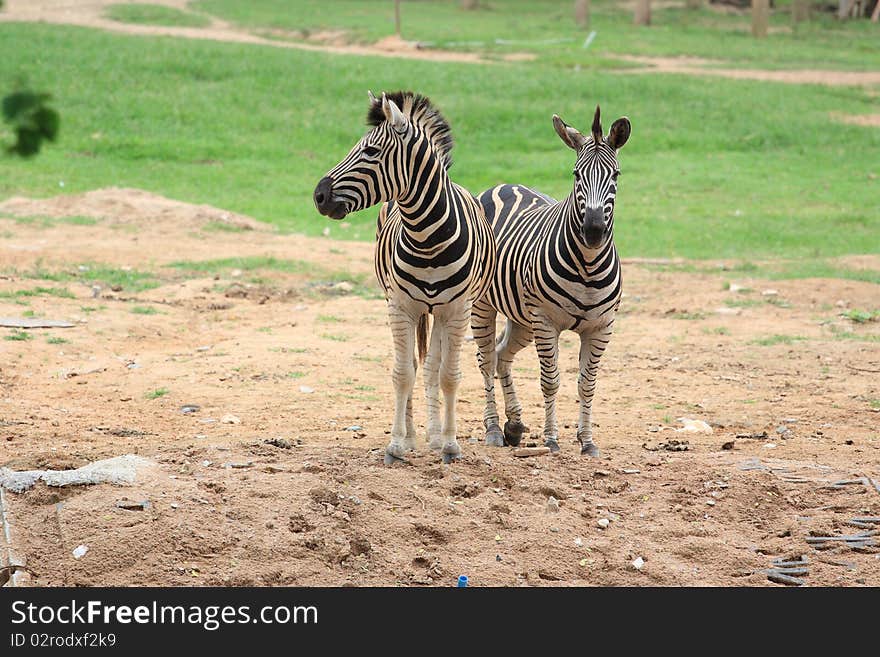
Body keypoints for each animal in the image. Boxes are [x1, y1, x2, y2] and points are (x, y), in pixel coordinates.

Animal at [314, 89, 496, 464]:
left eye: (370, 151)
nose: (318, 196)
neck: (427, 237)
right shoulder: (400, 306)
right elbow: (402, 373)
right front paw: (397, 444)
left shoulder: (457, 310)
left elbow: (448, 375)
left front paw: (450, 444)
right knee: (414, 364)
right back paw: (415, 435)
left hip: (441, 311)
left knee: (432, 367)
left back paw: (436, 436)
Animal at [470, 107, 628, 456]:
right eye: (576, 174)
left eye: (615, 176)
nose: (593, 231)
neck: (588, 265)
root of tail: (504, 185)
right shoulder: (546, 321)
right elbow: (551, 381)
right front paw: (552, 439)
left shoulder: (602, 326)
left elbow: (587, 384)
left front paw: (587, 441)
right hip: (484, 305)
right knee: (486, 359)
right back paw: (493, 428)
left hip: (522, 318)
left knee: (501, 354)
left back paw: (514, 425)